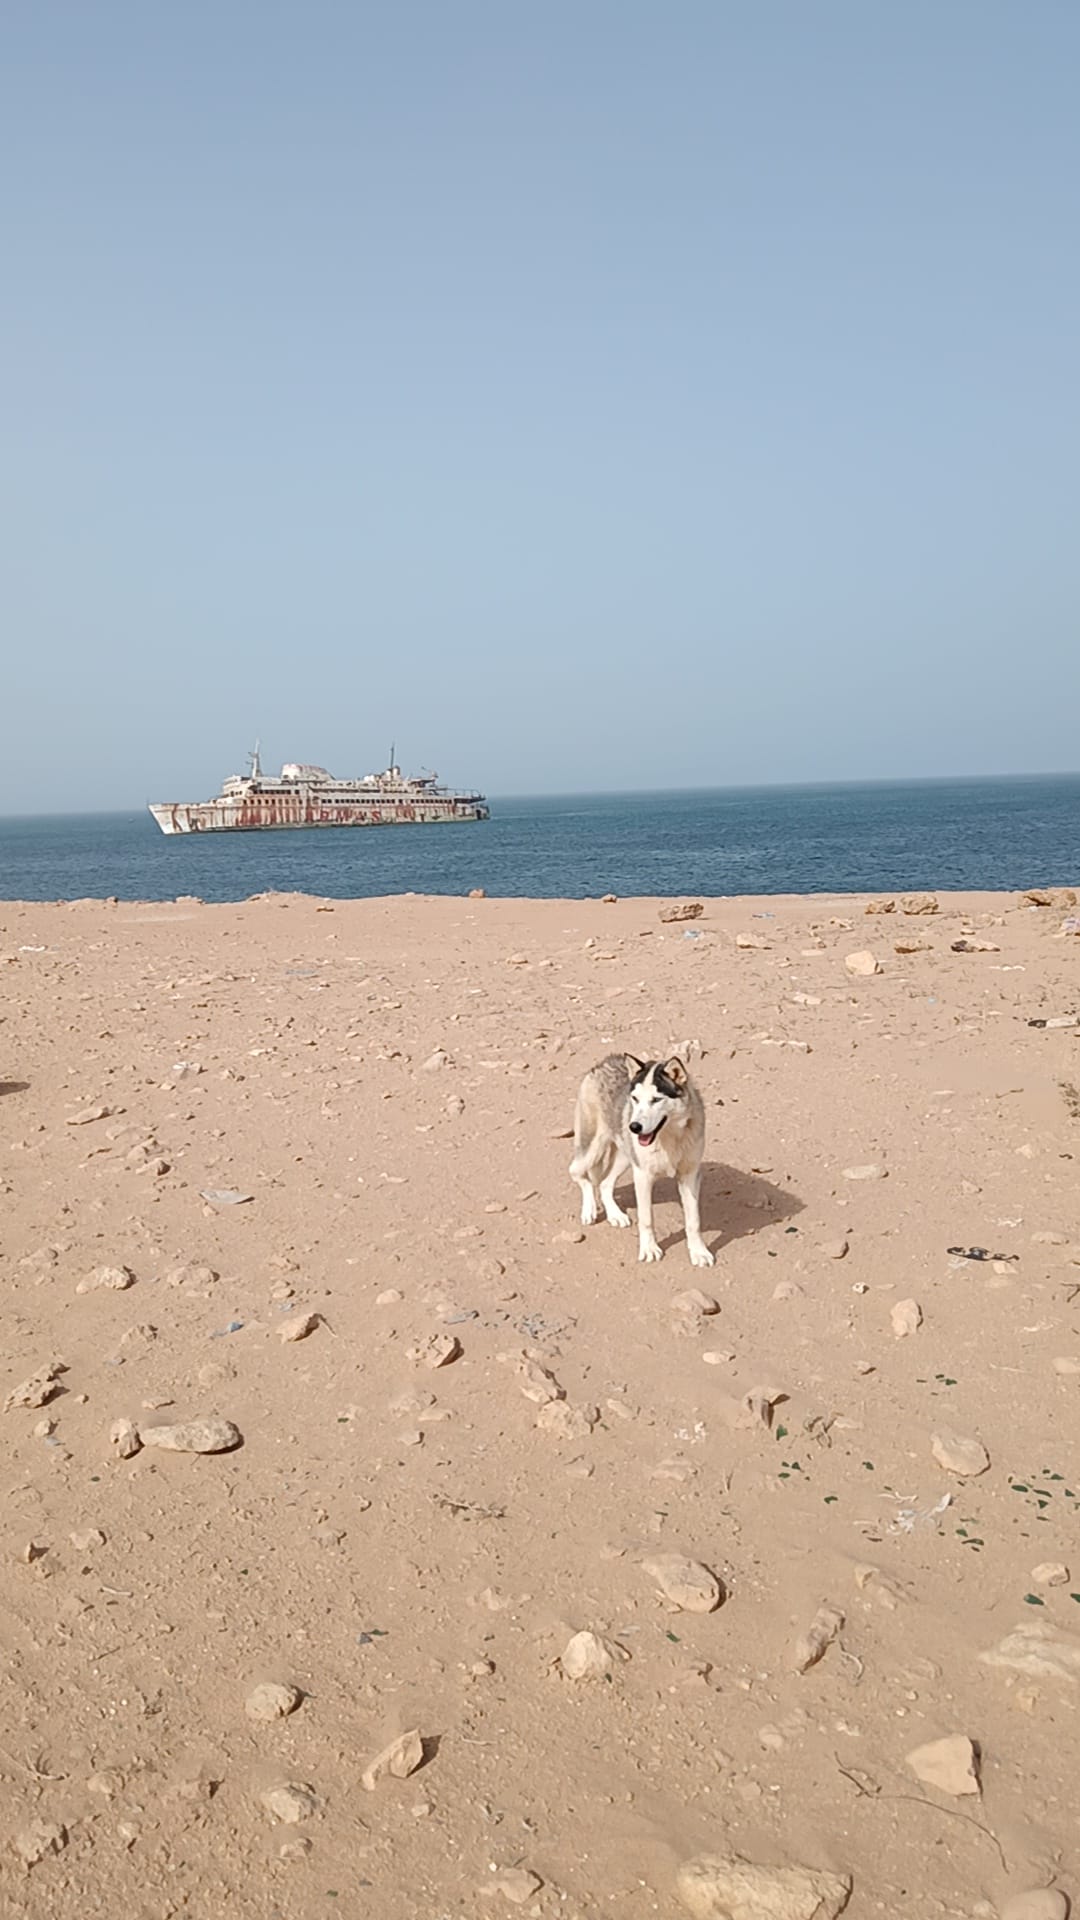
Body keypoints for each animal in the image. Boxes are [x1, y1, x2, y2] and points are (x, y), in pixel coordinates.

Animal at [568, 1059, 711, 1267]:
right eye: (635, 1098)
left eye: (657, 1099)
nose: (634, 1127)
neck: (669, 1136)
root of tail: (606, 1061)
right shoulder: (643, 1176)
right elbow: (646, 1218)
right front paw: (650, 1249)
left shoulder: (689, 1176)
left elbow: (694, 1220)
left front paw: (699, 1252)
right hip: (593, 1148)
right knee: (576, 1172)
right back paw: (589, 1210)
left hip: (625, 1157)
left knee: (604, 1183)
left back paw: (615, 1215)